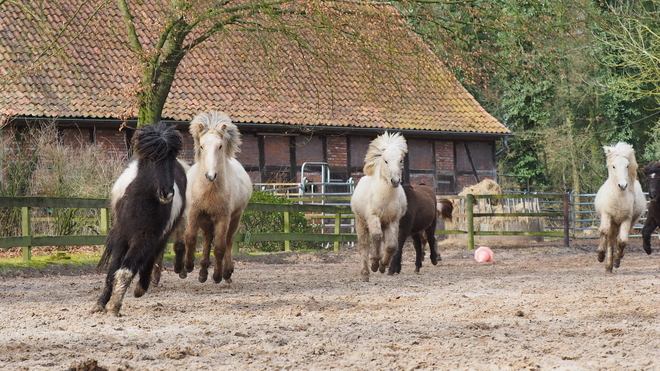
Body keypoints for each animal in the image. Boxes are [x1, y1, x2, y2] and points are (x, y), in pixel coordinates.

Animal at [91, 122, 187, 316]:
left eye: (172, 158)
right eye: (151, 158)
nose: (167, 193)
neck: (141, 203)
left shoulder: (146, 237)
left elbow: (126, 270)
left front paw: (114, 305)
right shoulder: (122, 236)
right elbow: (113, 270)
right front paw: (101, 303)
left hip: (160, 235)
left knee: (153, 255)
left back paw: (141, 287)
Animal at [350, 132, 408, 282]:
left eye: (401, 160)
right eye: (386, 161)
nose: (395, 181)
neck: (384, 198)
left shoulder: (393, 220)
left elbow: (392, 245)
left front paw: (382, 266)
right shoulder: (373, 217)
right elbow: (376, 237)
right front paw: (375, 264)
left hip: (385, 224)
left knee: (385, 242)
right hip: (361, 223)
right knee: (364, 246)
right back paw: (365, 272)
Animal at [592, 142, 644, 274]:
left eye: (627, 166)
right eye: (614, 166)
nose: (622, 185)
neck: (618, 198)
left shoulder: (626, 219)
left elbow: (622, 240)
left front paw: (617, 260)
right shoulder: (607, 215)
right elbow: (603, 232)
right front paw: (600, 256)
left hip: (626, 222)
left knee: (619, 239)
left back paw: (613, 263)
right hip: (613, 223)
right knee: (610, 240)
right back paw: (608, 266)